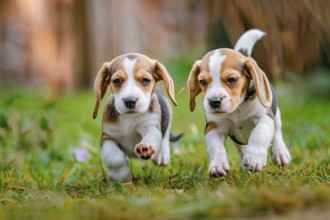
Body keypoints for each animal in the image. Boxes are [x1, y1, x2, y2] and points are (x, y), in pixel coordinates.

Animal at [93, 52, 180, 182]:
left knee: (165, 134)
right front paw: (121, 176)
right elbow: (114, 158)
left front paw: (145, 148)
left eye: (145, 80)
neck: (129, 118)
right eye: (117, 80)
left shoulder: (151, 127)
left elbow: (151, 137)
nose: (130, 101)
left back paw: (162, 156)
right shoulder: (108, 137)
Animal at [188, 29, 292, 177]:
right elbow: (215, 147)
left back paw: (280, 153)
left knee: (277, 132)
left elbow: (259, 135)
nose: (214, 101)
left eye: (231, 79)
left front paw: (254, 158)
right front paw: (217, 165)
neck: (237, 109)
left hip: (275, 114)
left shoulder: (264, 117)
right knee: (241, 148)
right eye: (202, 82)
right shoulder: (214, 126)